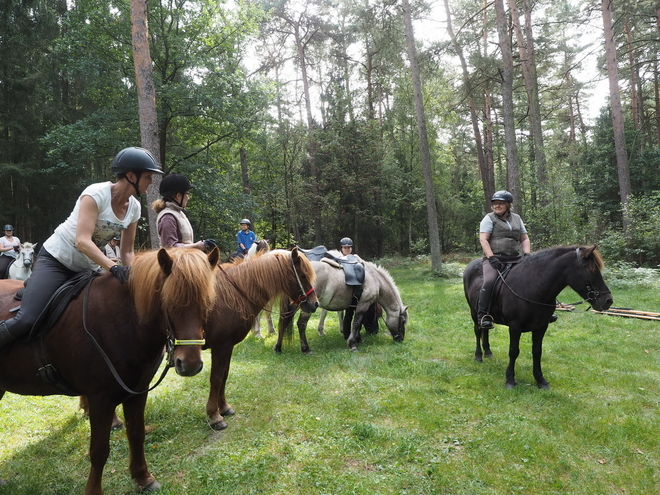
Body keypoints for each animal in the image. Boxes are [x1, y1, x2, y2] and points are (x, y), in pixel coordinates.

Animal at [0, 248, 219, 495]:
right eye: (168, 302)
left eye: (207, 302)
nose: (189, 364)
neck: (125, 321)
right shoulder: (100, 399)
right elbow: (99, 450)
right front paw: (94, 490)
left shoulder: (137, 393)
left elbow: (136, 434)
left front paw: (143, 477)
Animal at [464, 246, 612, 390]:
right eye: (591, 270)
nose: (608, 301)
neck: (534, 287)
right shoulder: (515, 327)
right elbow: (513, 351)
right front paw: (510, 379)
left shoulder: (541, 327)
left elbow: (537, 352)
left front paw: (540, 380)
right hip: (474, 312)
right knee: (478, 330)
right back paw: (478, 355)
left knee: (486, 330)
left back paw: (488, 352)